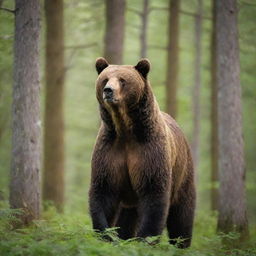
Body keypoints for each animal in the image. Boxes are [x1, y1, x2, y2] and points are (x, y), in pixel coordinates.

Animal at [89, 57, 195, 248]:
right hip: (128, 200)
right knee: (127, 217)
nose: (108, 91)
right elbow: (103, 190)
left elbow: (154, 192)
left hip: (183, 171)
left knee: (182, 212)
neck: (125, 129)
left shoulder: (149, 151)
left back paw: (181, 244)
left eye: (122, 80)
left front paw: (145, 239)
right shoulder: (109, 150)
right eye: (105, 79)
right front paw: (106, 236)